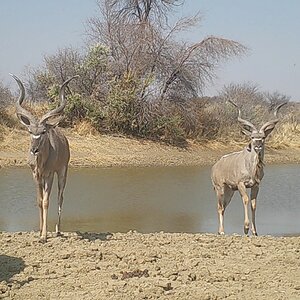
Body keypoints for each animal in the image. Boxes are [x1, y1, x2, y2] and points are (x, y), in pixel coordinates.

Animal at [11, 74, 78, 243]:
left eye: (43, 132)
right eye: (30, 131)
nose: (34, 149)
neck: (41, 162)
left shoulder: (49, 175)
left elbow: (47, 201)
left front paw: (44, 236)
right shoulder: (35, 175)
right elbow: (39, 201)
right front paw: (39, 232)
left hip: (62, 172)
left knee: (60, 196)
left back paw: (58, 230)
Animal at [211, 101, 286, 237]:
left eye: (263, 137)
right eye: (252, 137)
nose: (258, 145)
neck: (251, 168)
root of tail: (215, 166)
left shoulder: (256, 185)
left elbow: (253, 204)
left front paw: (255, 231)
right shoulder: (241, 184)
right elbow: (245, 200)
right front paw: (246, 228)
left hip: (229, 192)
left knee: (223, 207)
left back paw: (221, 230)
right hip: (220, 189)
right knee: (219, 207)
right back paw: (221, 231)